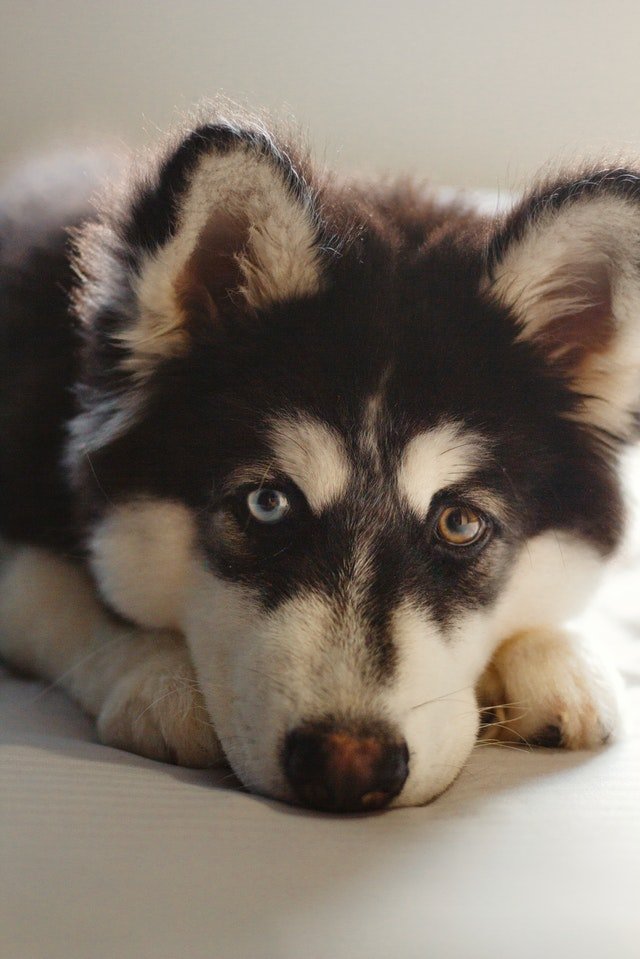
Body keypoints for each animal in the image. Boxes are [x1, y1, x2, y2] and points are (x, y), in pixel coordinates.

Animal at [0, 116, 632, 812]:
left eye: (460, 523)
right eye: (267, 504)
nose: (347, 766)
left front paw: (558, 656)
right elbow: (58, 597)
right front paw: (157, 676)